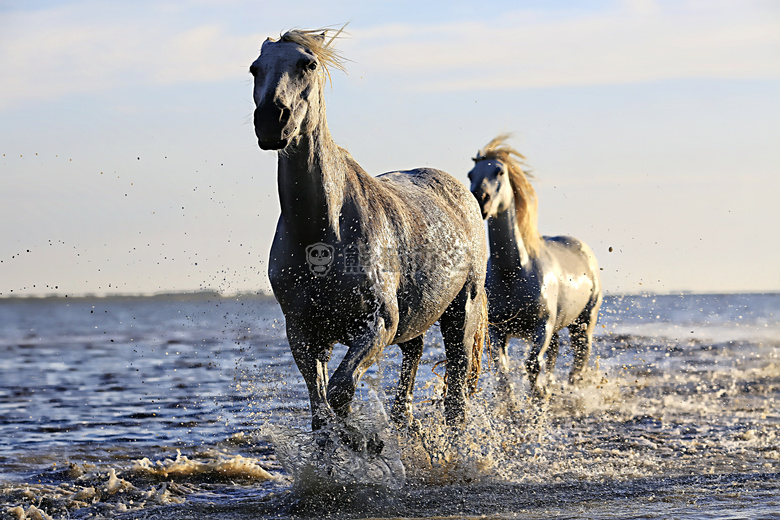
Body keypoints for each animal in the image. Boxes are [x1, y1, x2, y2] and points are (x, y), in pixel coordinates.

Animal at [251, 29, 488, 450]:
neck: (323, 235)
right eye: (254, 68)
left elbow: (340, 393)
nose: (271, 121)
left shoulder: (376, 324)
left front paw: (363, 443)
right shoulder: (304, 333)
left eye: (308, 64)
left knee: (456, 398)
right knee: (412, 363)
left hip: (462, 314)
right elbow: (321, 412)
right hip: (417, 318)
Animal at [466, 135, 600, 402]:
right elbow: (503, 373)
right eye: (470, 174)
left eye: (499, 171)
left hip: (583, 322)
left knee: (579, 359)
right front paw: (513, 406)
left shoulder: (542, 326)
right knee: (555, 354)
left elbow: (532, 365)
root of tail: (583, 249)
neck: (513, 272)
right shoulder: (498, 330)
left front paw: (538, 397)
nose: (480, 199)